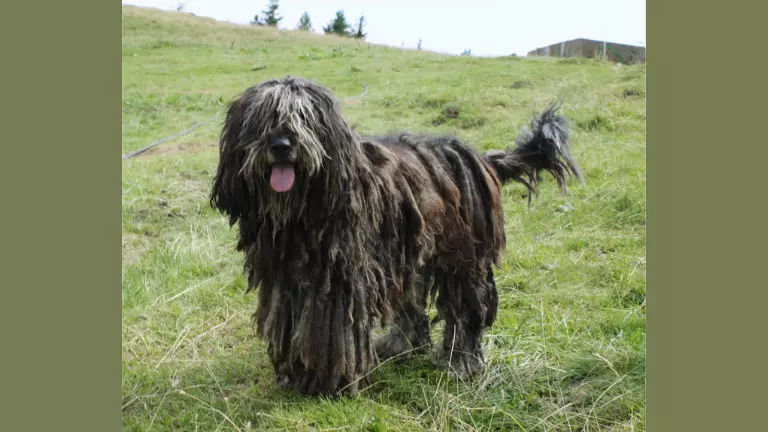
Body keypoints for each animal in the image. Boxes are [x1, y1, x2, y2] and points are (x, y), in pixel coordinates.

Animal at [210, 75, 584, 394]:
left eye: (304, 116)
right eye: (262, 117)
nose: (281, 144)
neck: (302, 211)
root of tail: (481, 158)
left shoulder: (341, 280)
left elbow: (330, 331)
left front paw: (327, 382)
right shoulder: (286, 279)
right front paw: (294, 374)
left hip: (462, 255)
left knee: (466, 309)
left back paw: (461, 361)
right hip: (405, 253)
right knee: (411, 306)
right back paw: (399, 344)